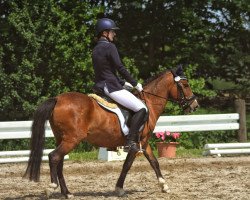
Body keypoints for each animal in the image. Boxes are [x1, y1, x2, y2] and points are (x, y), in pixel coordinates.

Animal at [23, 66, 199, 198]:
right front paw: (119, 189)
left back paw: (67, 193)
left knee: (59, 161)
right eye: (185, 85)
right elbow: (127, 165)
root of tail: (58, 99)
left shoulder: (144, 142)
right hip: (72, 140)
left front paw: (164, 185)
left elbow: (154, 162)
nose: (194, 105)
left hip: (62, 139)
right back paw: (52, 187)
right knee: (54, 157)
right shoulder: (136, 144)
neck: (149, 102)